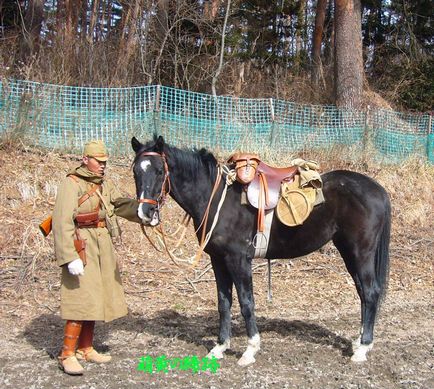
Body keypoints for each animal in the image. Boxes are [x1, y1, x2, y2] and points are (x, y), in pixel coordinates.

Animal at [131, 136, 392, 364]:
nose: (145, 212)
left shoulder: (238, 260)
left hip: (361, 253)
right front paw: (220, 347)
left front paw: (250, 350)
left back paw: (363, 348)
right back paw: (359, 342)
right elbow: (223, 302)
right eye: (135, 172)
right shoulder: (218, 260)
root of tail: (378, 190)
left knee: (370, 292)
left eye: (159, 171)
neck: (216, 198)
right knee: (363, 293)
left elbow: (246, 302)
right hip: (348, 252)